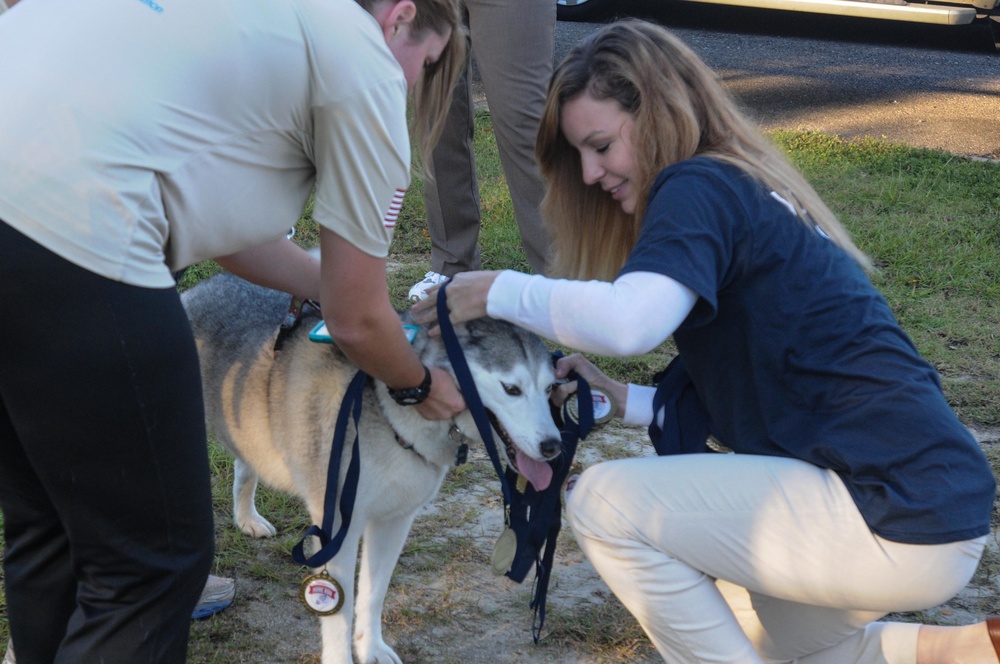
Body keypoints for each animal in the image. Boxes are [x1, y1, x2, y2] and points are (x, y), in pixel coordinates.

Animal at [182, 272, 564, 660]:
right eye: (511, 389)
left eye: (550, 388)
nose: (553, 446)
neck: (394, 414)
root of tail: (206, 284)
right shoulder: (338, 526)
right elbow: (340, 610)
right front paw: (340, 658)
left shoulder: (396, 519)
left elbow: (373, 594)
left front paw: (371, 649)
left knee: (245, 465)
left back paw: (247, 518)